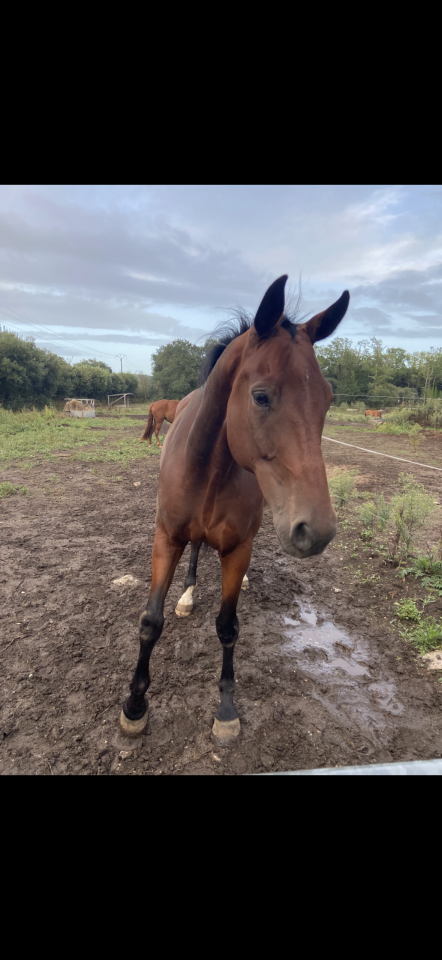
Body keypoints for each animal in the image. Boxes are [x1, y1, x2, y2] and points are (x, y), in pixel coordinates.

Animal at [120, 276, 350, 740]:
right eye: (260, 397)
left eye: (328, 398)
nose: (316, 530)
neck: (209, 467)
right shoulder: (165, 538)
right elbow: (150, 622)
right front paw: (134, 706)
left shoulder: (238, 548)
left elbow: (228, 628)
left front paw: (226, 709)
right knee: (194, 552)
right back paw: (187, 594)